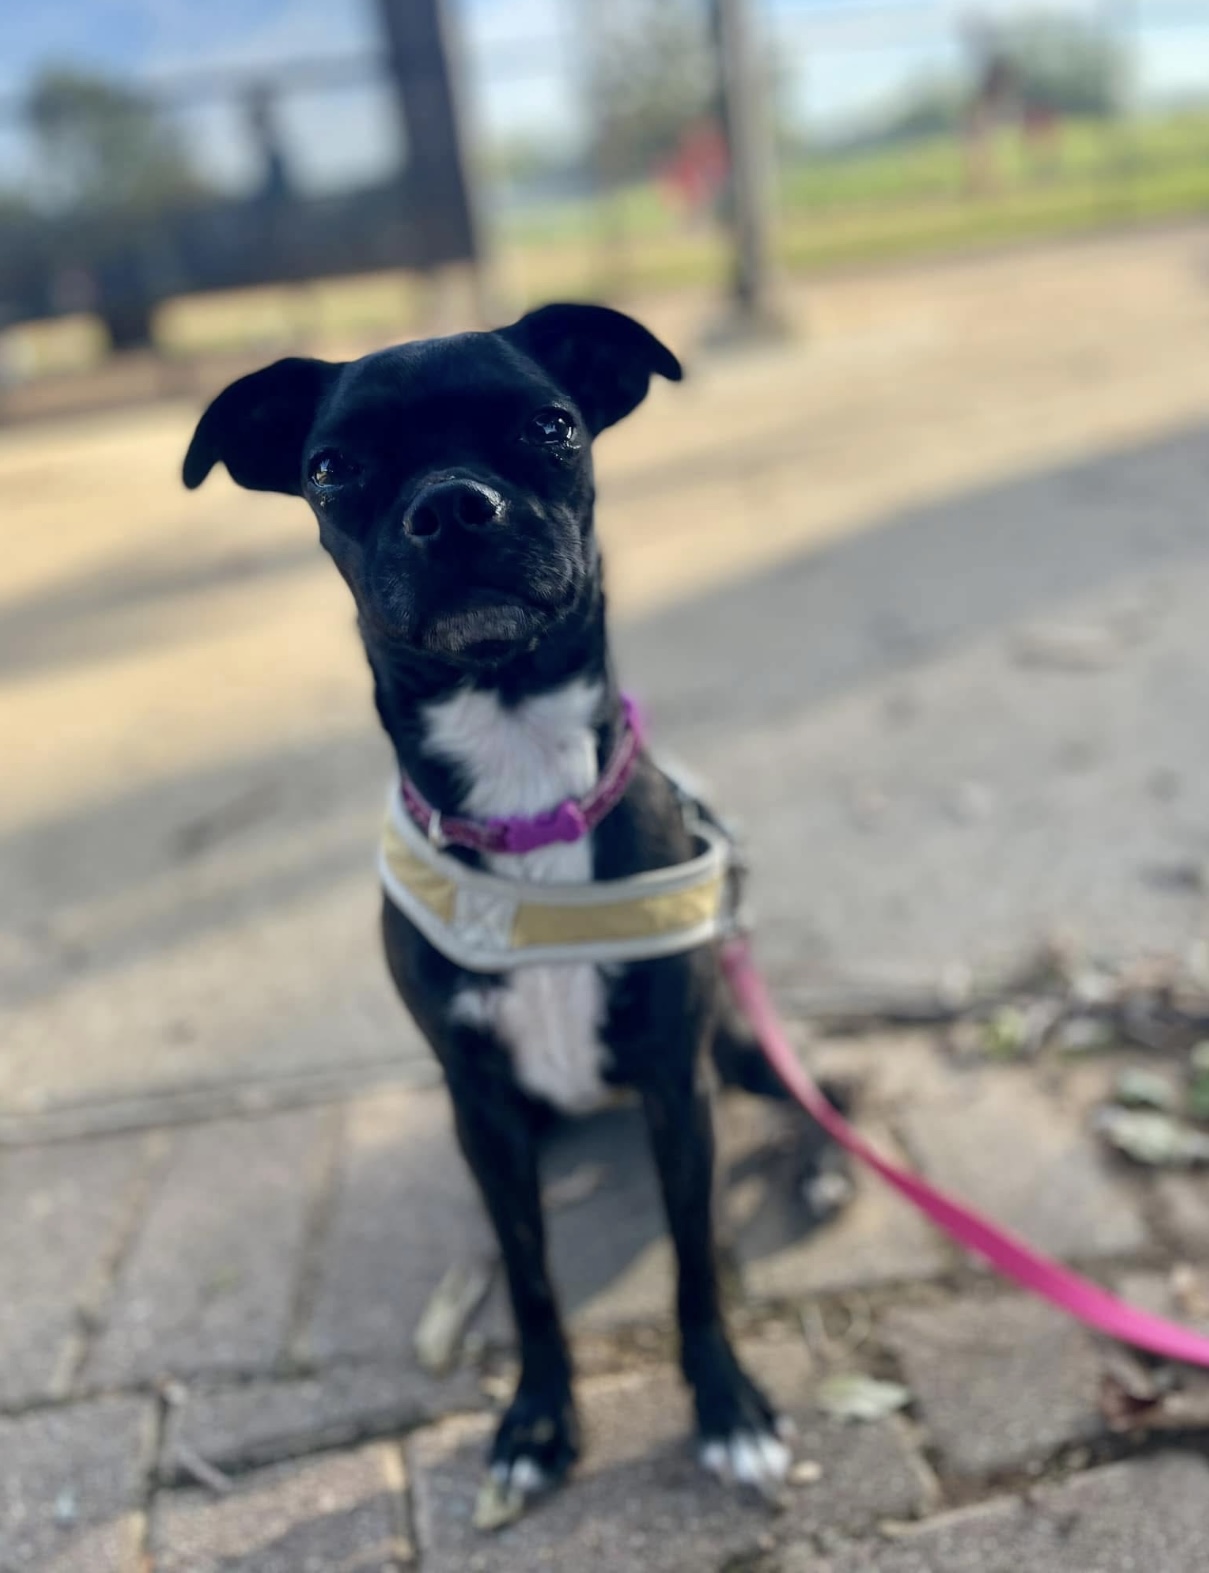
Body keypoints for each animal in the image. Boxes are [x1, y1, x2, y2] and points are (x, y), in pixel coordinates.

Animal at [183, 304, 843, 1508]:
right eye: (330, 467)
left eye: (553, 425)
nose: (452, 506)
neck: (525, 796)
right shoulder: (479, 1101)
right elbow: (533, 1280)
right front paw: (539, 1416)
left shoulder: (677, 1079)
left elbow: (694, 1262)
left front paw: (726, 1403)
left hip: (736, 1042)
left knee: (824, 1091)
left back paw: (822, 1170)